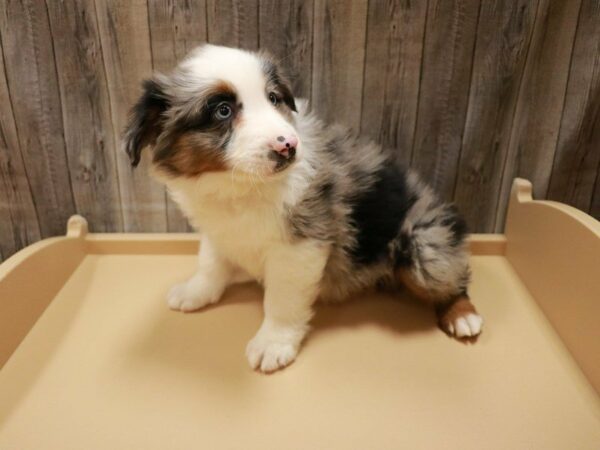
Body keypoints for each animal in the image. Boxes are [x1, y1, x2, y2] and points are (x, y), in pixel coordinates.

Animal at [123, 44, 482, 372]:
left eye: (273, 98)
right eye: (222, 111)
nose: (288, 146)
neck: (240, 186)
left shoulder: (300, 245)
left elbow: (281, 300)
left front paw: (273, 343)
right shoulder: (217, 228)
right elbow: (211, 262)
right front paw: (196, 291)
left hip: (425, 245)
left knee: (454, 275)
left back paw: (462, 315)